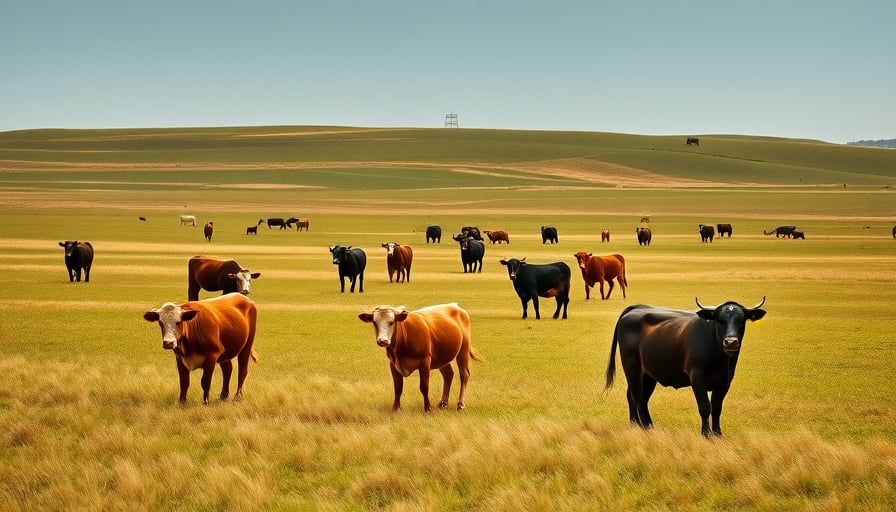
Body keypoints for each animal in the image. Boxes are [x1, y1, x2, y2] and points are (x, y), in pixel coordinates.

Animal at [605, 297, 767, 437]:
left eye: (741, 320)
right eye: (720, 320)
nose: (731, 342)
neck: (719, 358)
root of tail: (637, 308)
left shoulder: (725, 381)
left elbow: (716, 408)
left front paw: (718, 434)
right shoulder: (697, 376)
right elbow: (705, 406)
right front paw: (706, 434)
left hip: (648, 375)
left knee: (640, 399)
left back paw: (642, 426)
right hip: (632, 368)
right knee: (636, 397)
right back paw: (642, 427)